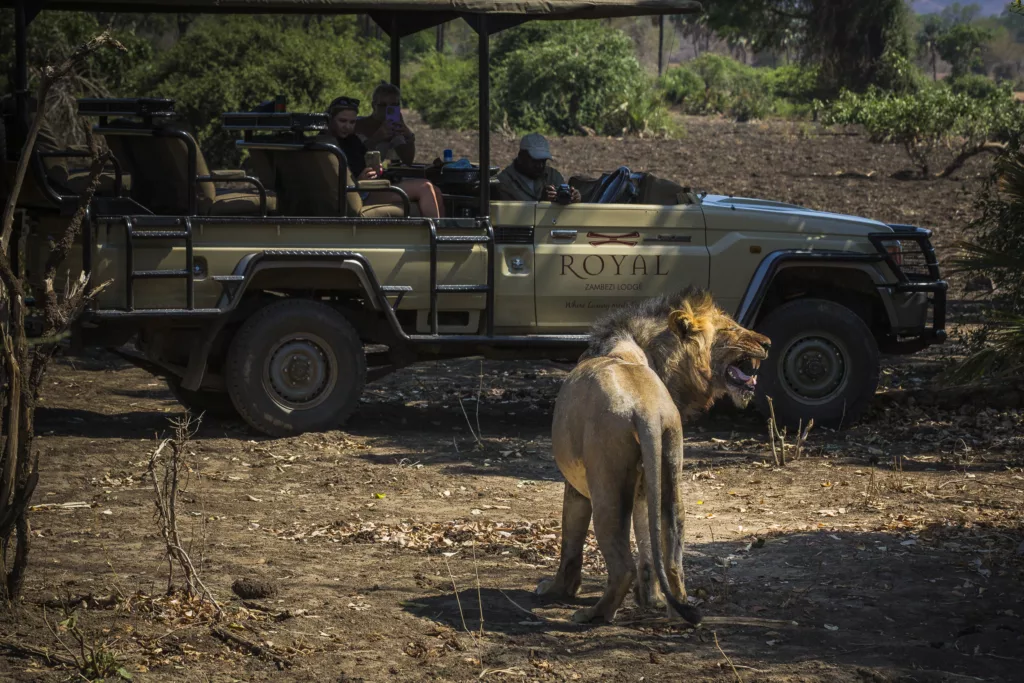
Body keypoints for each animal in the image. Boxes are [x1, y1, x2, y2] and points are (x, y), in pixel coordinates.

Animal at [544, 288, 770, 626]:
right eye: (730, 328)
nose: (767, 343)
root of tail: (646, 409)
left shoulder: (575, 486)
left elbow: (571, 540)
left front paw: (557, 591)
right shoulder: (643, 487)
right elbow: (649, 548)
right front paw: (651, 599)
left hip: (606, 486)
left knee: (622, 565)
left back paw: (594, 615)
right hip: (670, 473)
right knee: (673, 558)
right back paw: (679, 611)